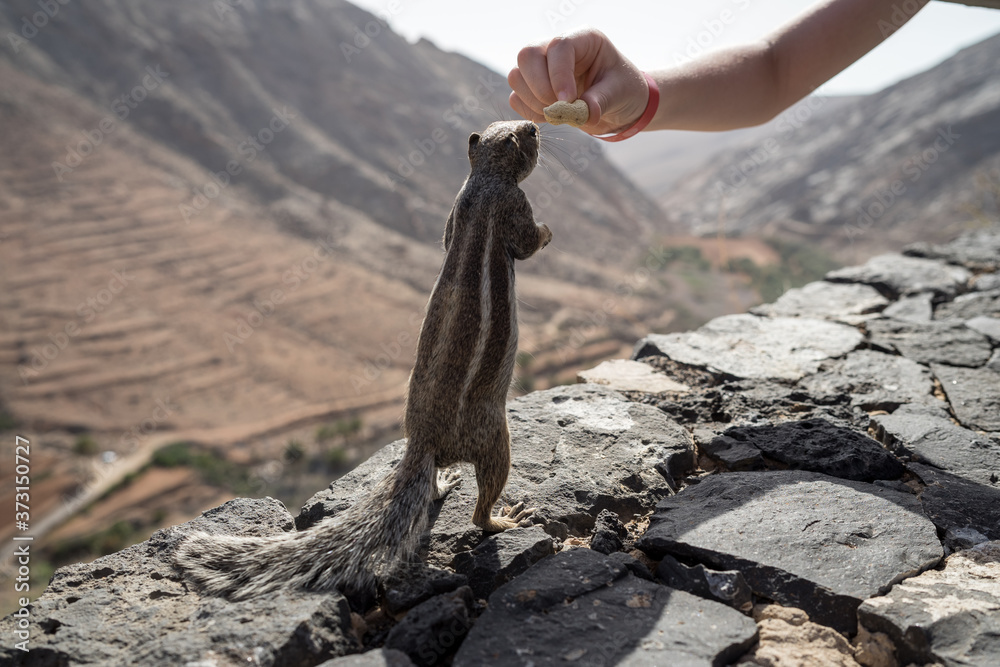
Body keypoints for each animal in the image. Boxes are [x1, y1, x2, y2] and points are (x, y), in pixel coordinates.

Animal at [173, 120, 552, 599]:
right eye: (526, 134)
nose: (537, 125)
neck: (484, 178)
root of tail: (422, 442)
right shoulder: (514, 206)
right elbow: (527, 241)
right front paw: (549, 232)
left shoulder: (454, 213)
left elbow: (447, 236)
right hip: (494, 437)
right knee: (481, 510)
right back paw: (505, 519)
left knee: (435, 489)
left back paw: (443, 483)